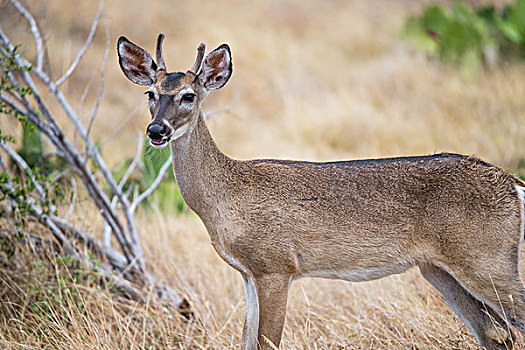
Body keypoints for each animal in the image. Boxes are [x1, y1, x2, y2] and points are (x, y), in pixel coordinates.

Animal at [116, 33, 524, 350]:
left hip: (487, 259)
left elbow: (267, 341)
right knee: (494, 335)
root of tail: (513, 184)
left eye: (188, 95)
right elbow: (246, 340)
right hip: (439, 269)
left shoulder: (276, 264)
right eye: (150, 92)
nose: (156, 130)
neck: (226, 197)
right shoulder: (248, 272)